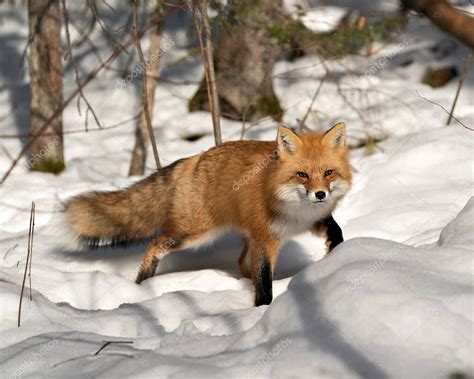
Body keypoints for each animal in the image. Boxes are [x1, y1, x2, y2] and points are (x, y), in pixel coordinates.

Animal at [64, 123, 352, 308]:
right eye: (302, 174)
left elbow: (337, 231)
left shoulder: (310, 221)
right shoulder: (265, 239)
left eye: (328, 173)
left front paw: (336, 255)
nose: (320, 195)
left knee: (240, 263)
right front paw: (262, 310)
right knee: (154, 245)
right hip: (193, 234)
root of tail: (195, 157)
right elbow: (264, 282)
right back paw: (142, 284)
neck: (296, 208)